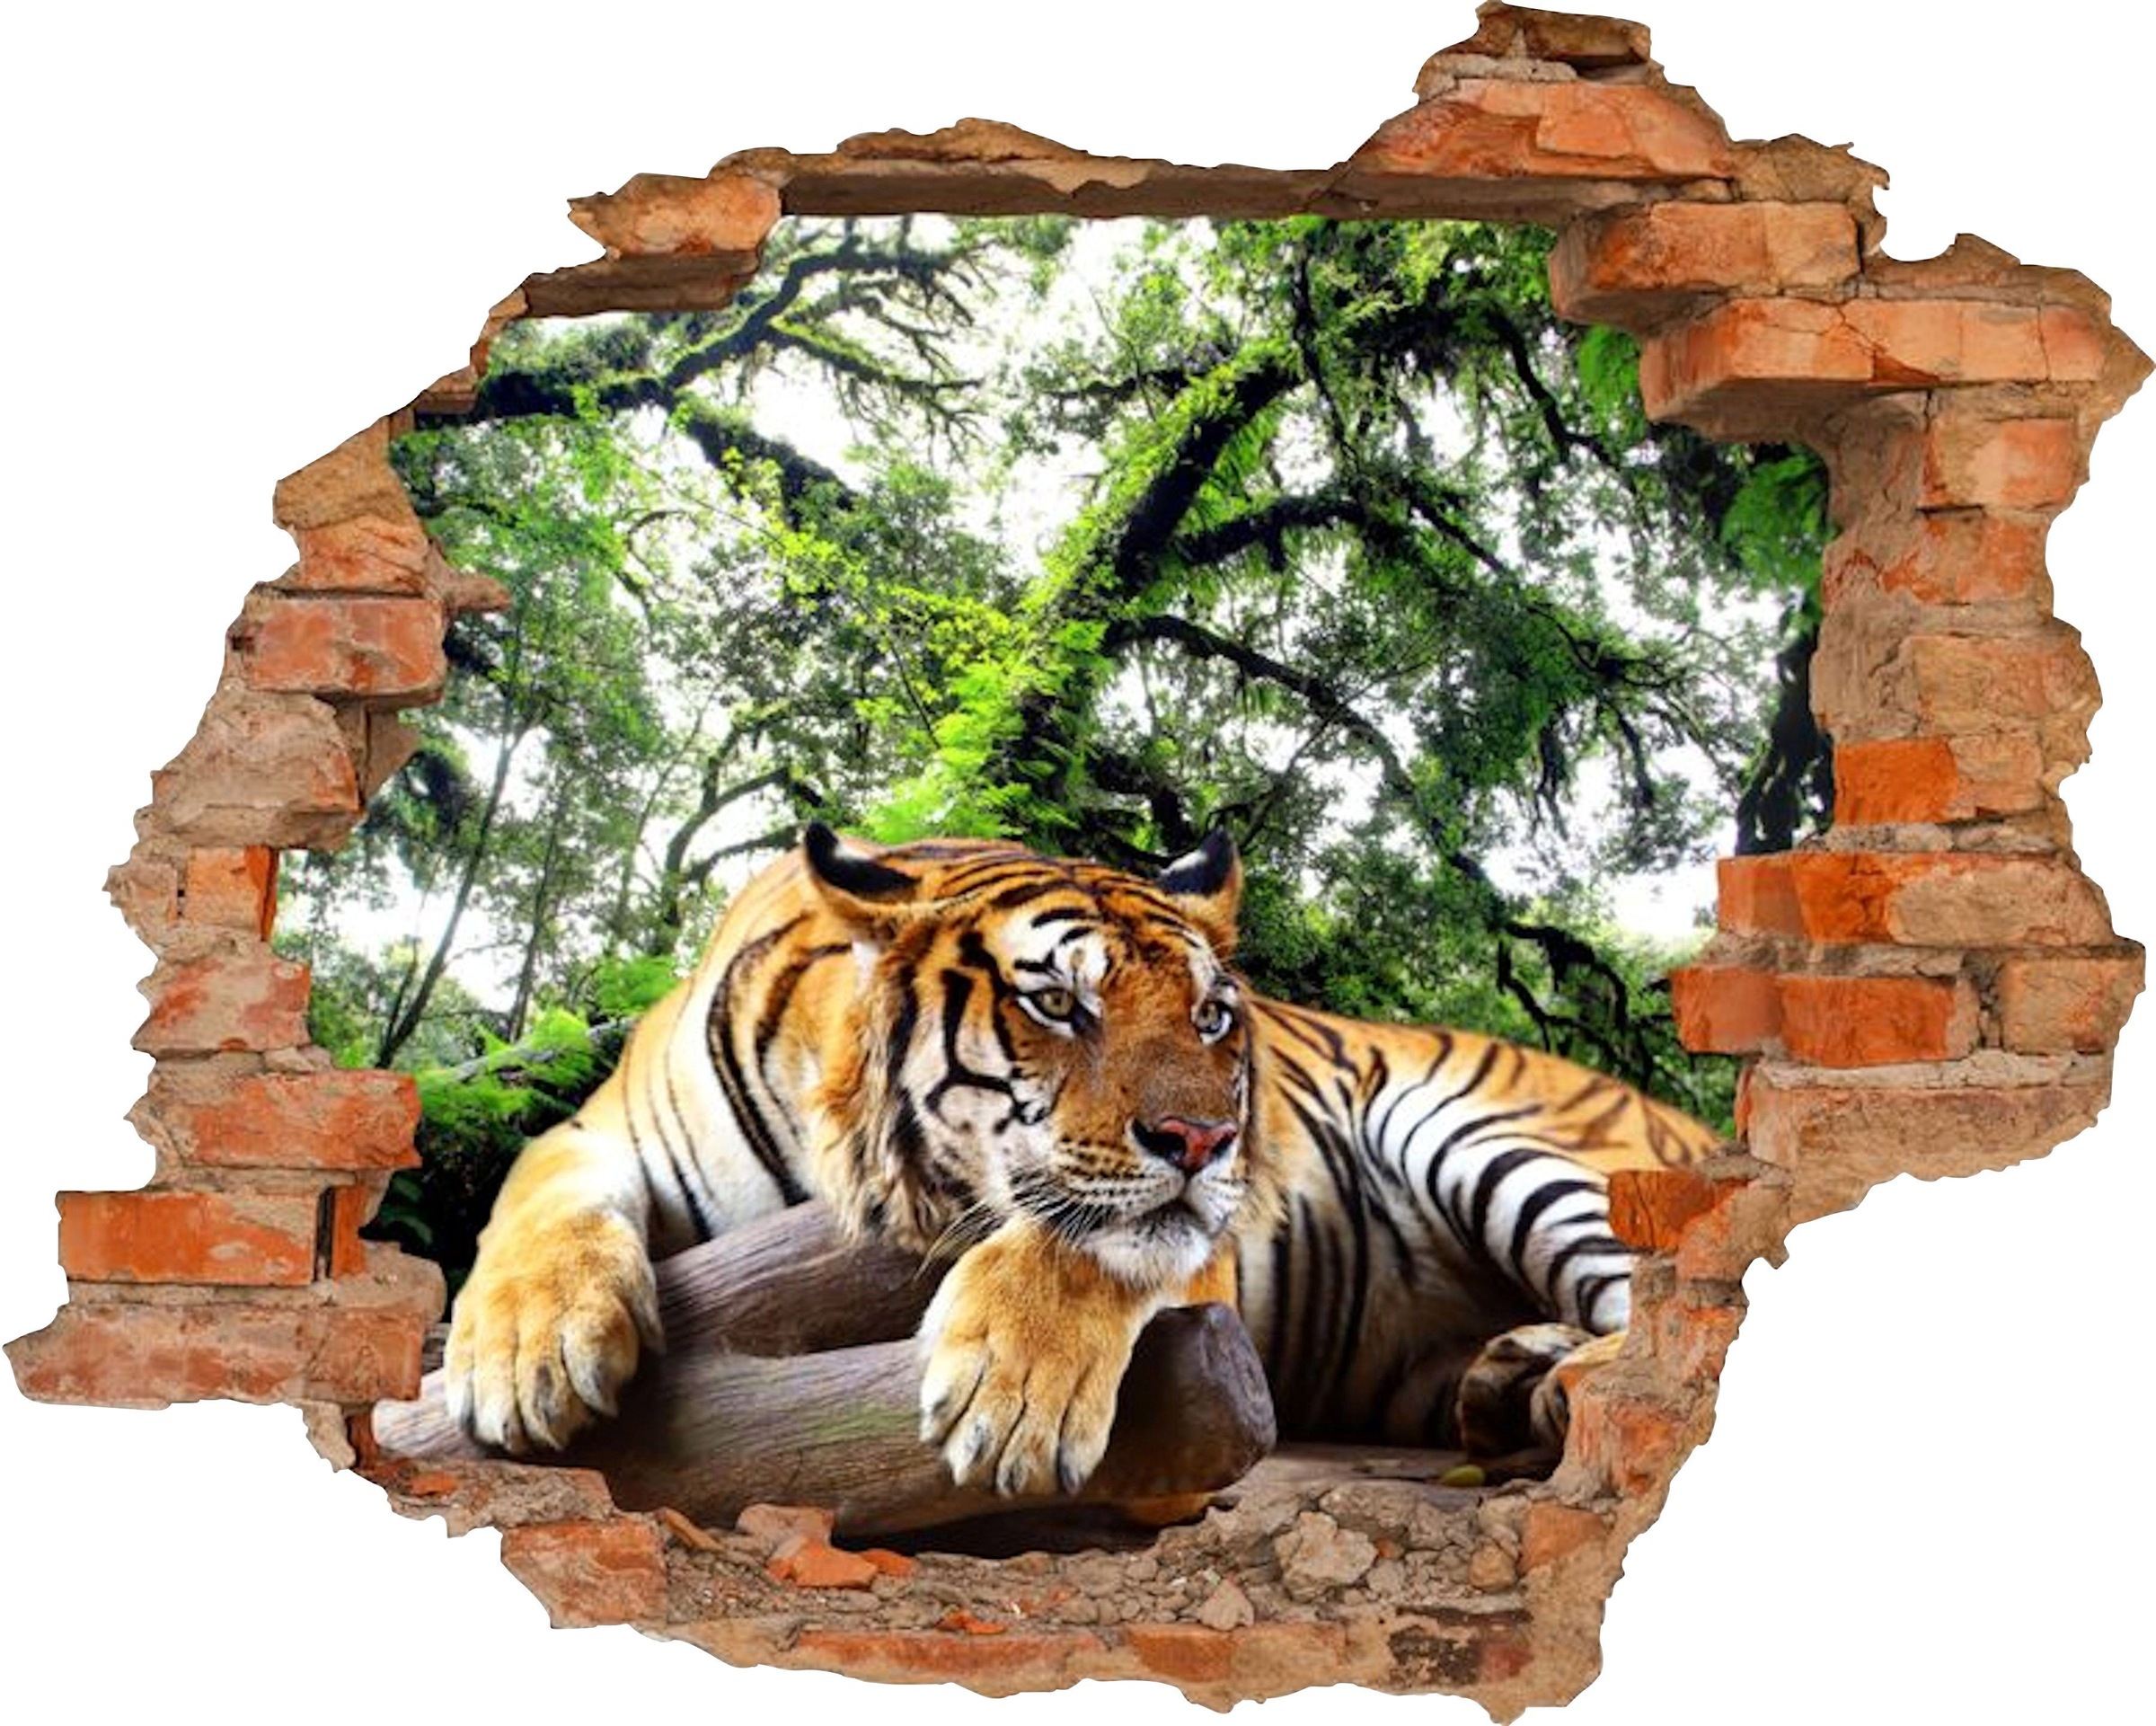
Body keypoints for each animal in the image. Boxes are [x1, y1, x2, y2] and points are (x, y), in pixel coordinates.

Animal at [445, 824, 1722, 1497]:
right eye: (1058, 1002)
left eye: (1212, 1017)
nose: (1210, 1140)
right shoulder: (599, 1130)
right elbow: (534, 1197)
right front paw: (524, 1355)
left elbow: (1094, 1241)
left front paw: (1011, 1397)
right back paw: (1510, 1384)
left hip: (1488, 1135)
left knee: (1679, 1317)